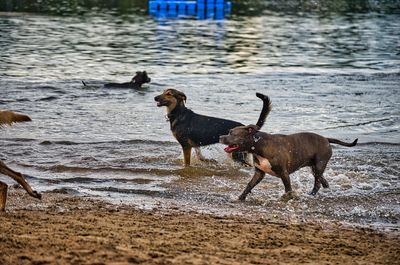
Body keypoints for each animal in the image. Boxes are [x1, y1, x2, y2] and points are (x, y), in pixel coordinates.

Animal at [220, 118, 358, 199]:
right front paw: (241, 197)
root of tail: (326, 139)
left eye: (231, 133)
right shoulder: (259, 173)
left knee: (317, 183)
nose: (220, 137)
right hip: (315, 167)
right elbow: (249, 185)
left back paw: (312, 194)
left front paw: (288, 198)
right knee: (323, 181)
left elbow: (288, 188)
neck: (257, 144)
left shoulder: (284, 173)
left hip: (319, 165)